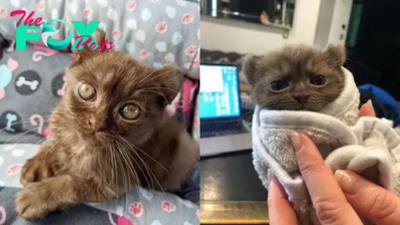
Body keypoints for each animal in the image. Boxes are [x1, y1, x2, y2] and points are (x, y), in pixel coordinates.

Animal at [14, 29, 199, 220]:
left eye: (131, 111)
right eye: (86, 90)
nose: (97, 123)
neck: (81, 145)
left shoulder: (112, 185)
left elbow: (72, 184)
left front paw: (36, 197)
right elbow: (53, 143)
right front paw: (37, 165)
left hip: (185, 151)